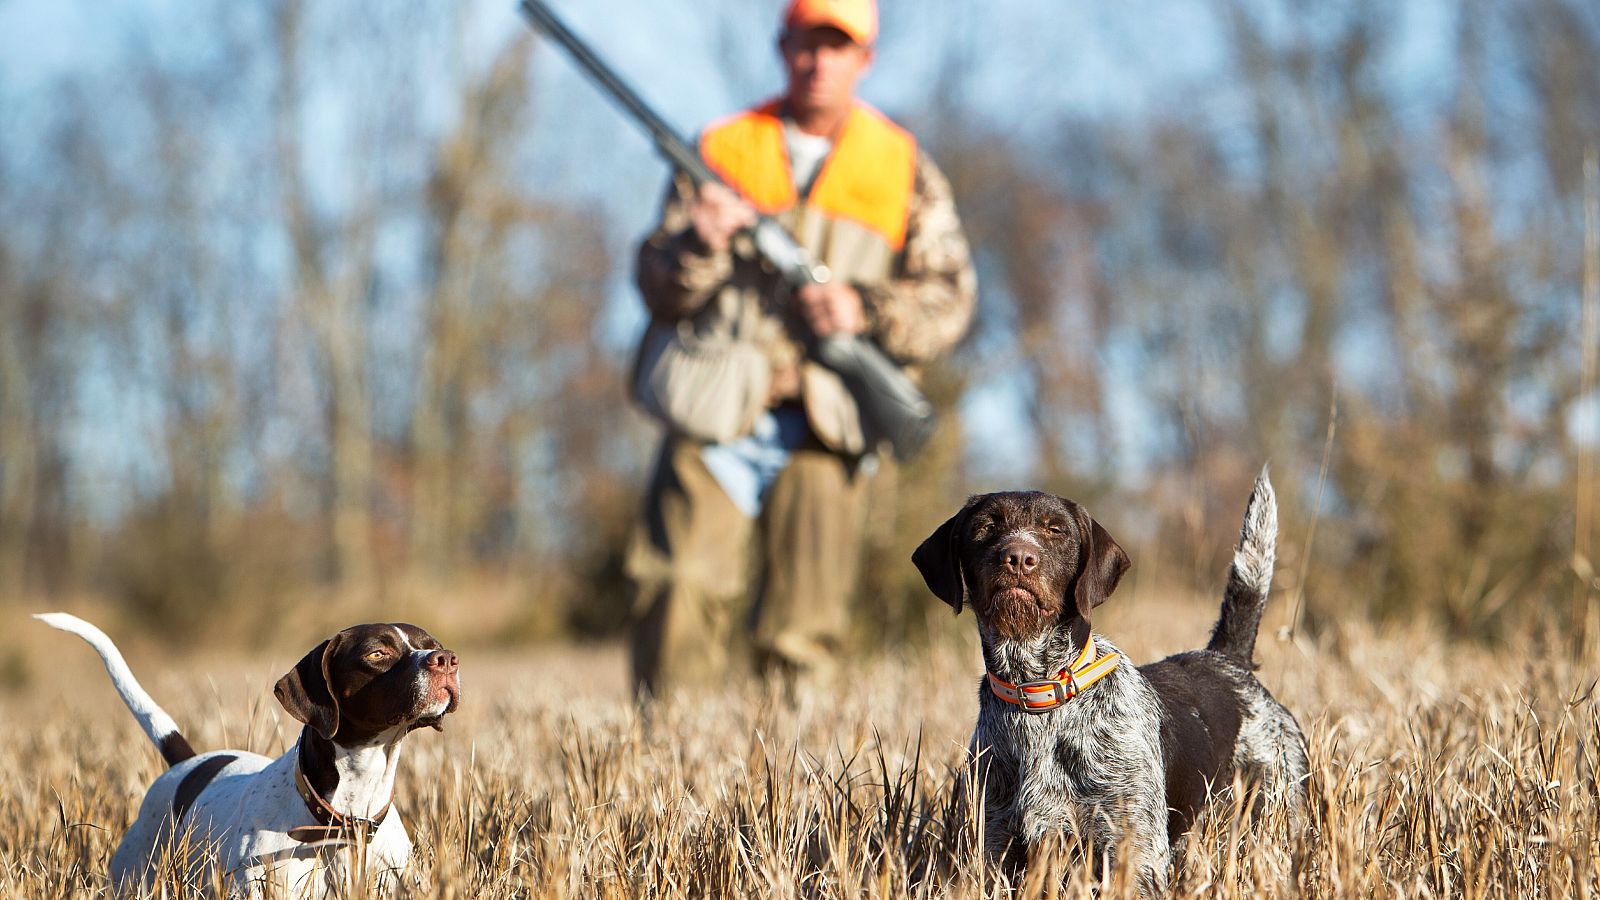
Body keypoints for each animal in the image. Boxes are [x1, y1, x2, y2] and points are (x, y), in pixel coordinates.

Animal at [921, 464, 1305, 883]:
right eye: (985, 526)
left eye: (1056, 530)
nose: (1019, 557)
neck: (1038, 692)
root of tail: (1227, 658)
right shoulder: (995, 850)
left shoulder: (1134, 853)